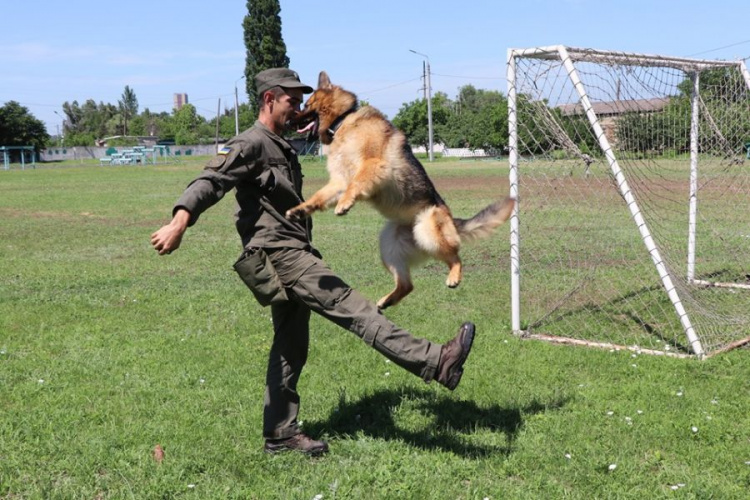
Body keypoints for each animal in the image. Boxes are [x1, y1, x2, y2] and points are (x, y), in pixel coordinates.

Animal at [288, 68, 516, 306]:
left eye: (306, 105)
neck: (343, 121)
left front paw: (344, 204)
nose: (290, 118)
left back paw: (454, 276)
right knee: (407, 285)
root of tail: (450, 218)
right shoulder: (339, 181)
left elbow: (356, 183)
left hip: (428, 232)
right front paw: (300, 210)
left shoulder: (372, 164)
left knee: (455, 257)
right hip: (389, 246)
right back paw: (386, 301)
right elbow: (318, 197)